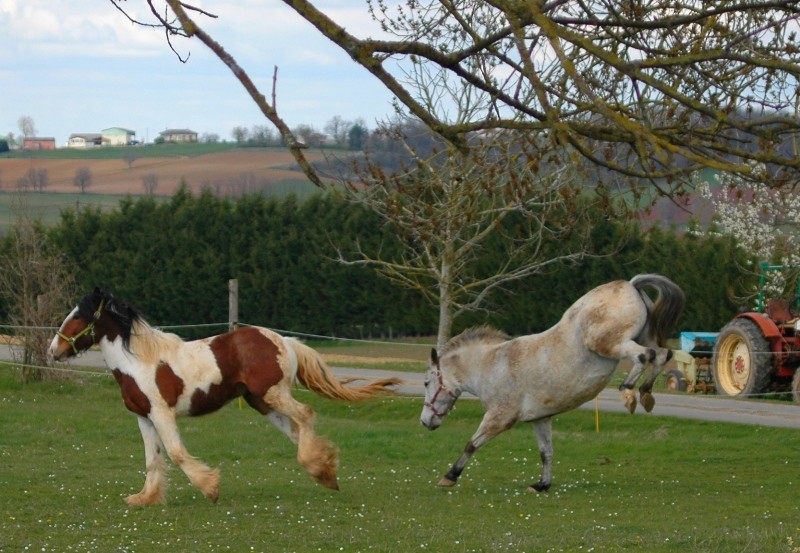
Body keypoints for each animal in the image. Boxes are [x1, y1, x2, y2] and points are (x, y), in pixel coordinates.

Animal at [48, 288, 398, 504]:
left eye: (77, 316)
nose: (53, 351)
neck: (139, 361)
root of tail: (284, 341)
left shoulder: (162, 414)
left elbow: (176, 454)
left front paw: (211, 489)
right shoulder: (144, 418)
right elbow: (152, 460)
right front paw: (144, 499)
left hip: (273, 394)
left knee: (305, 415)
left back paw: (320, 471)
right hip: (262, 403)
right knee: (297, 430)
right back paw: (324, 473)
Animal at [416, 274, 684, 494]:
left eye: (427, 383)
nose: (425, 422)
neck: (492, 365)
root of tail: (630, 283)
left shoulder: (499, 418)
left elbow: (471, 444)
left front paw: (449, 477)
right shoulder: (541, 419)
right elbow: (546, 452)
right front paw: (541, 485)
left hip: (608, 343)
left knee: (645, 355)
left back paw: (628, 393)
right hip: (642, 336)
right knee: (662, 355)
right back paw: (646, 394)